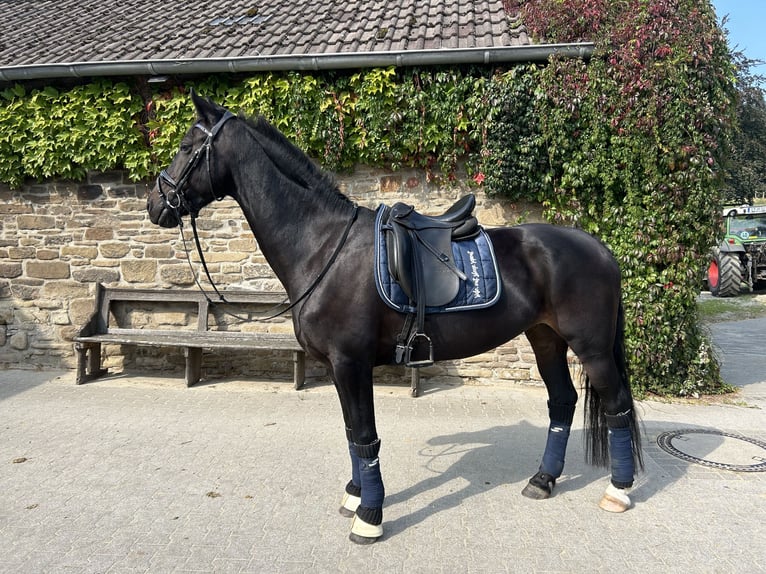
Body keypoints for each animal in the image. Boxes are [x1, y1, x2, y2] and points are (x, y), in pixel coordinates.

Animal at [147, 93, 644, 544]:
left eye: (188, 146)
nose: (156, 204)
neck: (323, 246)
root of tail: (599, 247)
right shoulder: (338, 367)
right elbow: (352, 432)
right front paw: (354, 494)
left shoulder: (351, 363)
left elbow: (366, 434)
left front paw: (369, 516)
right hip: (545, 339)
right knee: (562, 402)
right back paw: (542, 480)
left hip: (592, 348)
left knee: (618, 406)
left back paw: (618, 490)